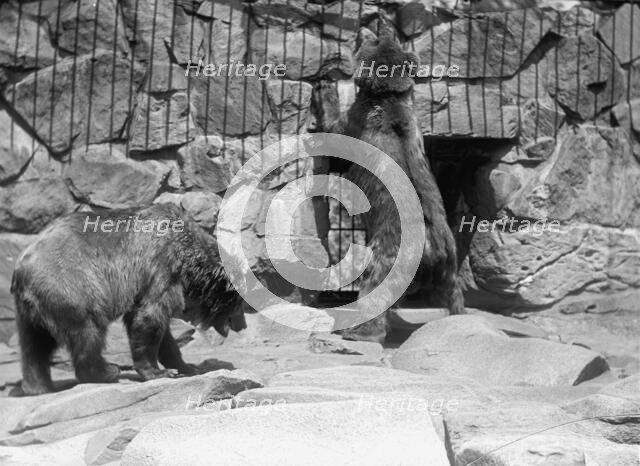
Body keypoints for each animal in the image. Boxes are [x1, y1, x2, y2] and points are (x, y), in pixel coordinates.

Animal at [11, 203, 244, 395]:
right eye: (240, 303)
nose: (243, 325)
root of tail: (21, 267)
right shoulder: (160, 269)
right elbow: (149, 318)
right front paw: (158, 372)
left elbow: (162, 332)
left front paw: (187, 366)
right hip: (72, 286)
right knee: (87, 330)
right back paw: (106, 371)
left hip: (33, 308)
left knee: (34, 345)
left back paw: (38, 386)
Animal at [311, 28, 465, 342]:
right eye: (386, 37)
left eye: (371, 40)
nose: (363, 29)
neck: (386, 96)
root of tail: (434, 247)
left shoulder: (356, 123)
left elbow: (333, 131)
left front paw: (325, 87)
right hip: (450, 265)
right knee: (454, 293)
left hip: (390, 255)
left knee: (376, 287)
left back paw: (358, 330)